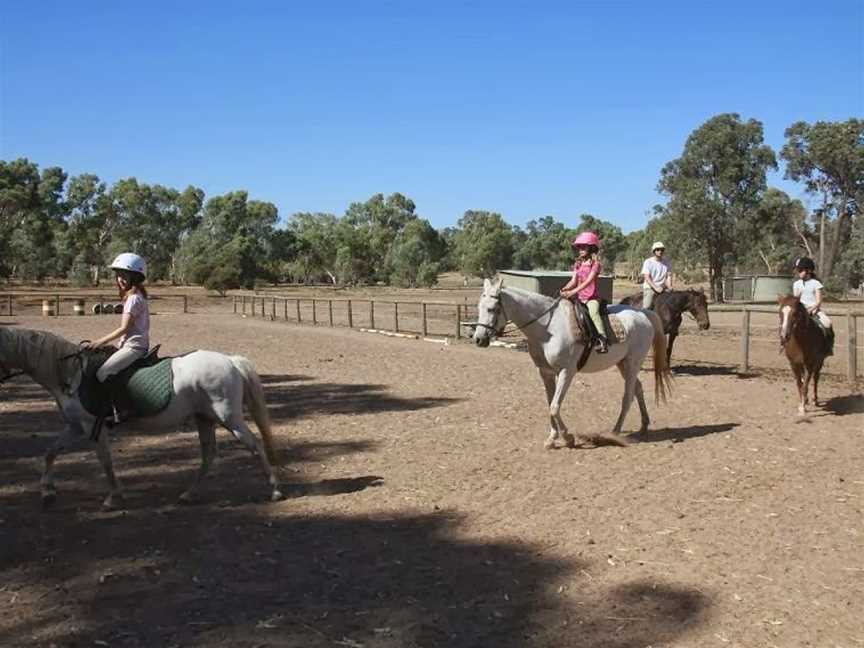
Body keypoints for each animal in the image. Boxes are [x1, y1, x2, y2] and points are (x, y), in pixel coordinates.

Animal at [0, 326, 284, 508]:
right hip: (204, 417)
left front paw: (112, 498)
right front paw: (47, 492)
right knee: (209, 454)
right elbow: (50, 452)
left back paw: (275, 490)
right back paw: (188, 495)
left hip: (229, 418)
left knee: (255, 446)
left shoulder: (92, 427)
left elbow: (105, 461)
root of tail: (230, 361)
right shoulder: (75, 427)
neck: (71, 375)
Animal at [472, 278, 668, 450]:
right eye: (479, 307)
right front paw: (552, 439)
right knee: (638, 389)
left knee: (628, 396)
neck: (547, 329)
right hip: (623, 364)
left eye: (491, 309)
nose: (478, 339)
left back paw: (614, 433)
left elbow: (554, 406)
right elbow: (550, 404)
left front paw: (567, 438)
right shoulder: (545, 372)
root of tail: (643, 314)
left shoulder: (567, 371)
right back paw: (643, 426)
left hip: (633, 362)